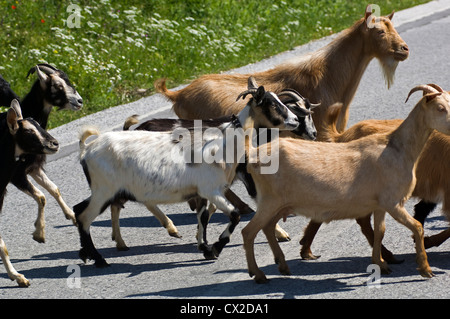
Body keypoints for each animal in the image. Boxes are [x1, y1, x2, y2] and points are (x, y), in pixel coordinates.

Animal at [243, 84, 450, 284]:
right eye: (440, 108)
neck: (398, 148)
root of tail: (254, 155)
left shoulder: (380, 204)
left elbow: (380, 232)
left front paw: (381, 264)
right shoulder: (393, 202)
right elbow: (417, 226)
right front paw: (425, 269)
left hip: (281, 204)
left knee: (267, 227)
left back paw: (283, 266)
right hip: (270, 200)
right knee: (249, 231)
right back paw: (258, 274)